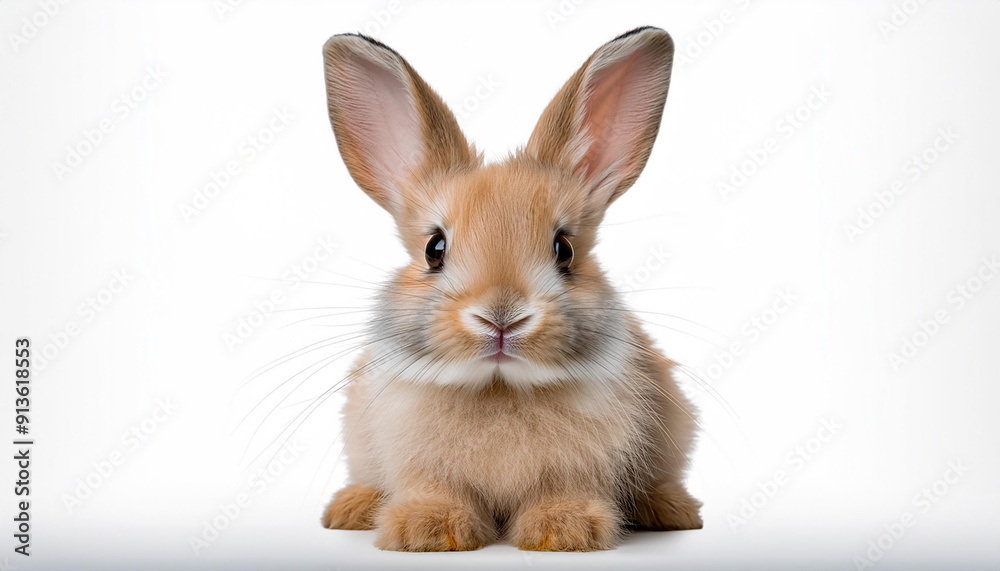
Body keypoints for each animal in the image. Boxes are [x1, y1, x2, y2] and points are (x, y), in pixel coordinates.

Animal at [318, 26, 702, 552]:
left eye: (564, 249)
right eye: (434, 249)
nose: (502, 317)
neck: (498, 386)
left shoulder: (580, 465)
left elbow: (564, 490)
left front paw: (563, 531)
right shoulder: (417, 462)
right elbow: (433, 489)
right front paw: (428, 530)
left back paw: (670, 509)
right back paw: (351, 507)